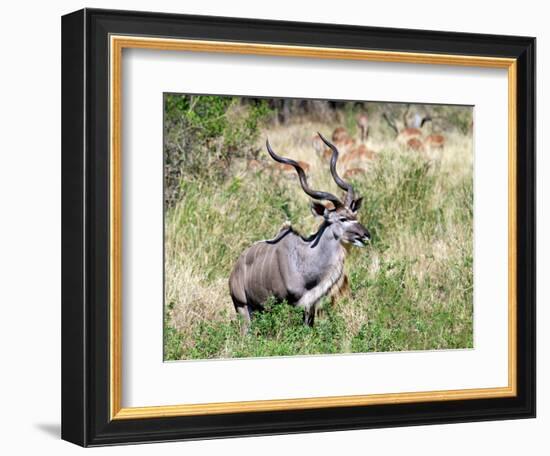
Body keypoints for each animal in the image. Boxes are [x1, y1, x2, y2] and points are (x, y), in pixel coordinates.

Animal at [229, 132, 370, 328]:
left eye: (355, 215)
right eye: (343, 218)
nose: (366, 235)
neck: (306, 259)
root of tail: (234, 272)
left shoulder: (310, 306)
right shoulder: (286, 304)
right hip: (242, 308)